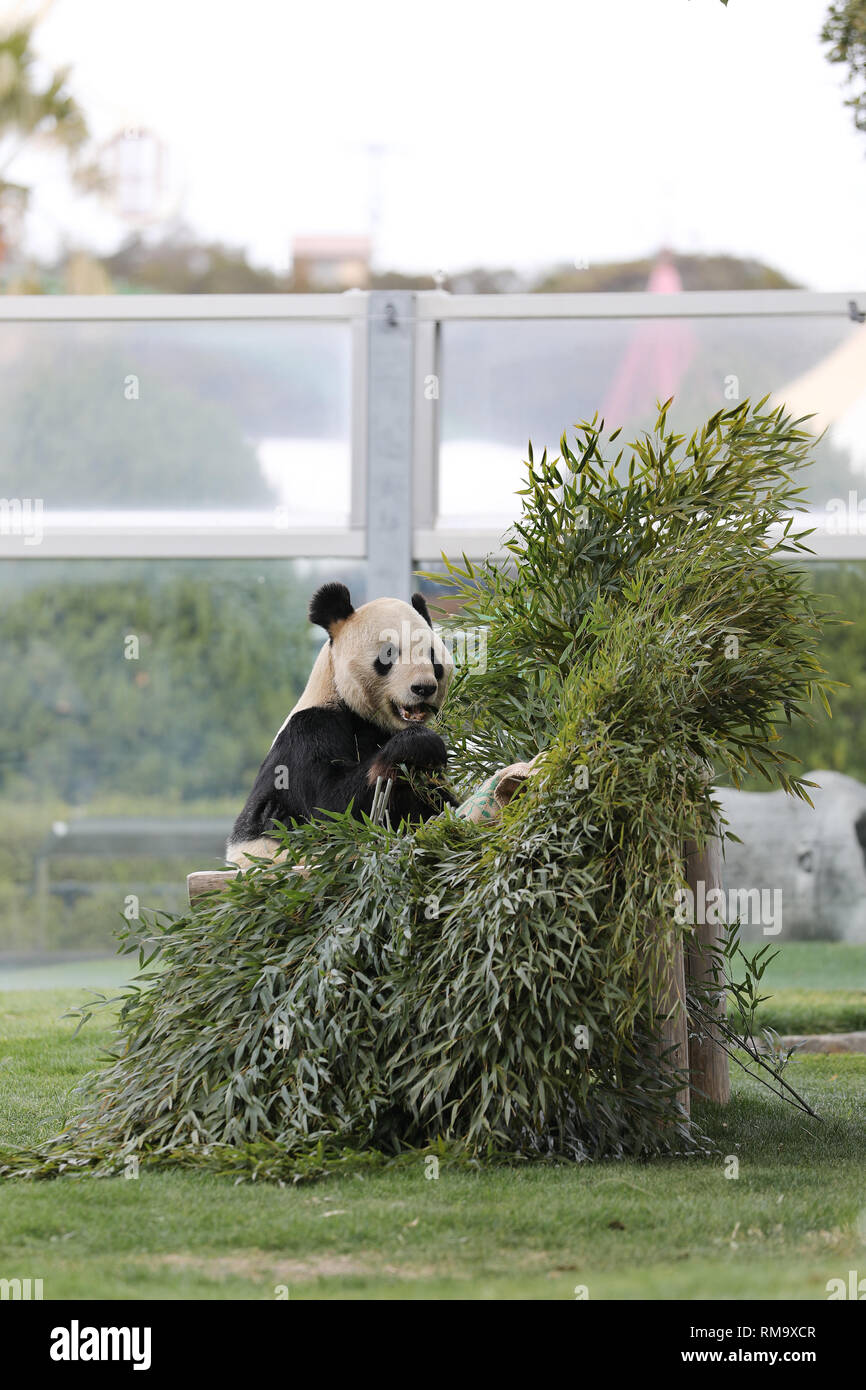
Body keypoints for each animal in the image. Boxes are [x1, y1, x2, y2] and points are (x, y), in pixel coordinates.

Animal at [226, 581, 457, 869]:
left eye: (433, 658)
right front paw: (420, 744)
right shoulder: (308, 733)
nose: (423, 688)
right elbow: (333, 810)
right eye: (389, 653)